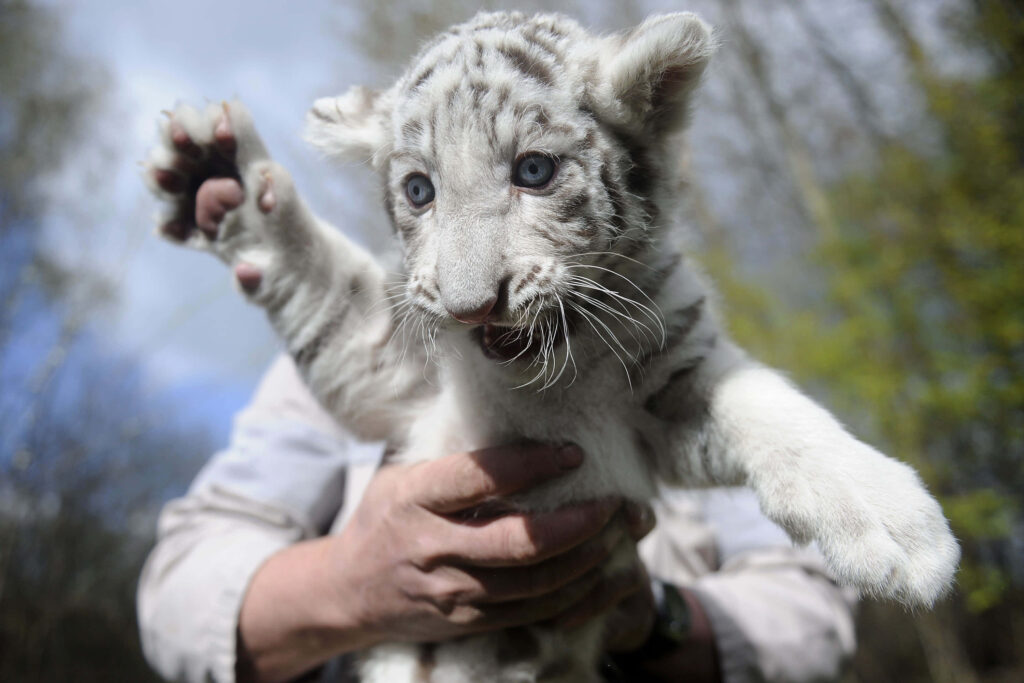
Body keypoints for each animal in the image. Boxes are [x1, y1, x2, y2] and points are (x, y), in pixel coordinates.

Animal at [144, 10, 959, 682]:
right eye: (419, 190)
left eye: (533, 170)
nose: (473, 304)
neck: (550, 380)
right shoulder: (398, 378)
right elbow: (323, 282)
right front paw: (217, 175)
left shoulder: (675, 382)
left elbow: (767, 408)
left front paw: (900, 530)